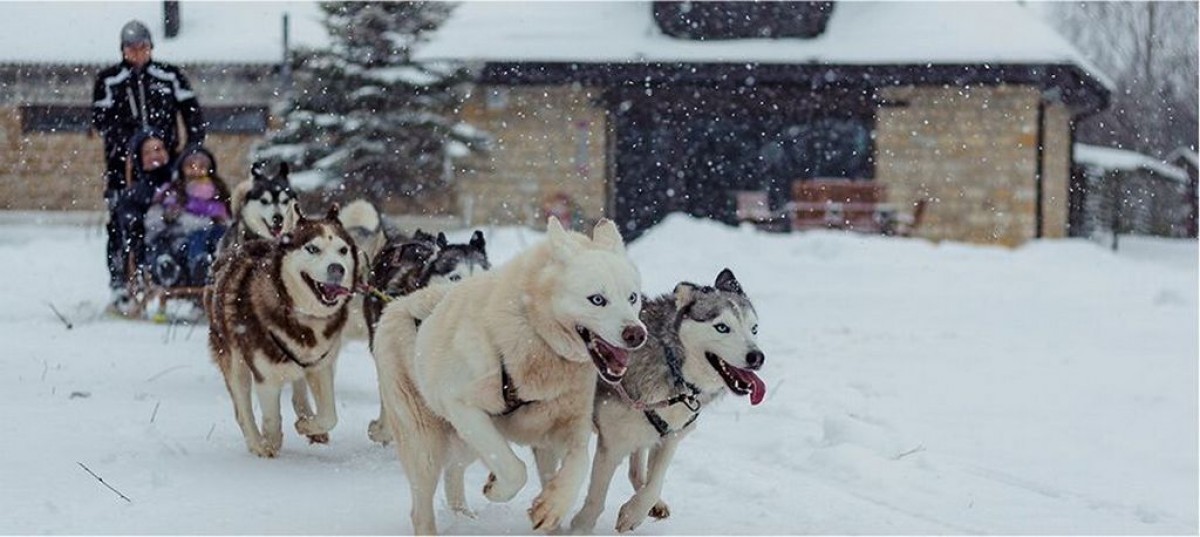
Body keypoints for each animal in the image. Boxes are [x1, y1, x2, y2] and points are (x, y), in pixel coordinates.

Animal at [207, 206, 355, 457]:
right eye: (312, 248)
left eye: (342, 250)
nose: (337, 268)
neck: (301, 315)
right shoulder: (265, 377)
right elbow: (273, 421)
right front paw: (269, 443)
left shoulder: (321, 367)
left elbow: (329, 416)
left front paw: (307, 425)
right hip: (234, 361)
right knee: (242, 407)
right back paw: (256, 442)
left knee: (298, 390)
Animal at [374, 216, 648, 532]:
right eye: (598, 299)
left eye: (632, 297)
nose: (636, 334)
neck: (534, 336)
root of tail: (402, 303)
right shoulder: (462, 405)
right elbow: (515, 470)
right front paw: (498, 489)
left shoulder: (568, 425)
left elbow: (579, 463)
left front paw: (552, 506)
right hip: (425, 445)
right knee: (421, 508)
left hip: (464, 443)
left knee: (454, 472)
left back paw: (462, 516)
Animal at [566, 268, 763, 532]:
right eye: (722, 327)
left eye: (754, 329)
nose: (757, 357)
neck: (674, 369)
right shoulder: (614, 443)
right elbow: (596, 498)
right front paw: (581, 525)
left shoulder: (671, 435)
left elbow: (654, 483)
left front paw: (634, 512)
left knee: (637, 470)